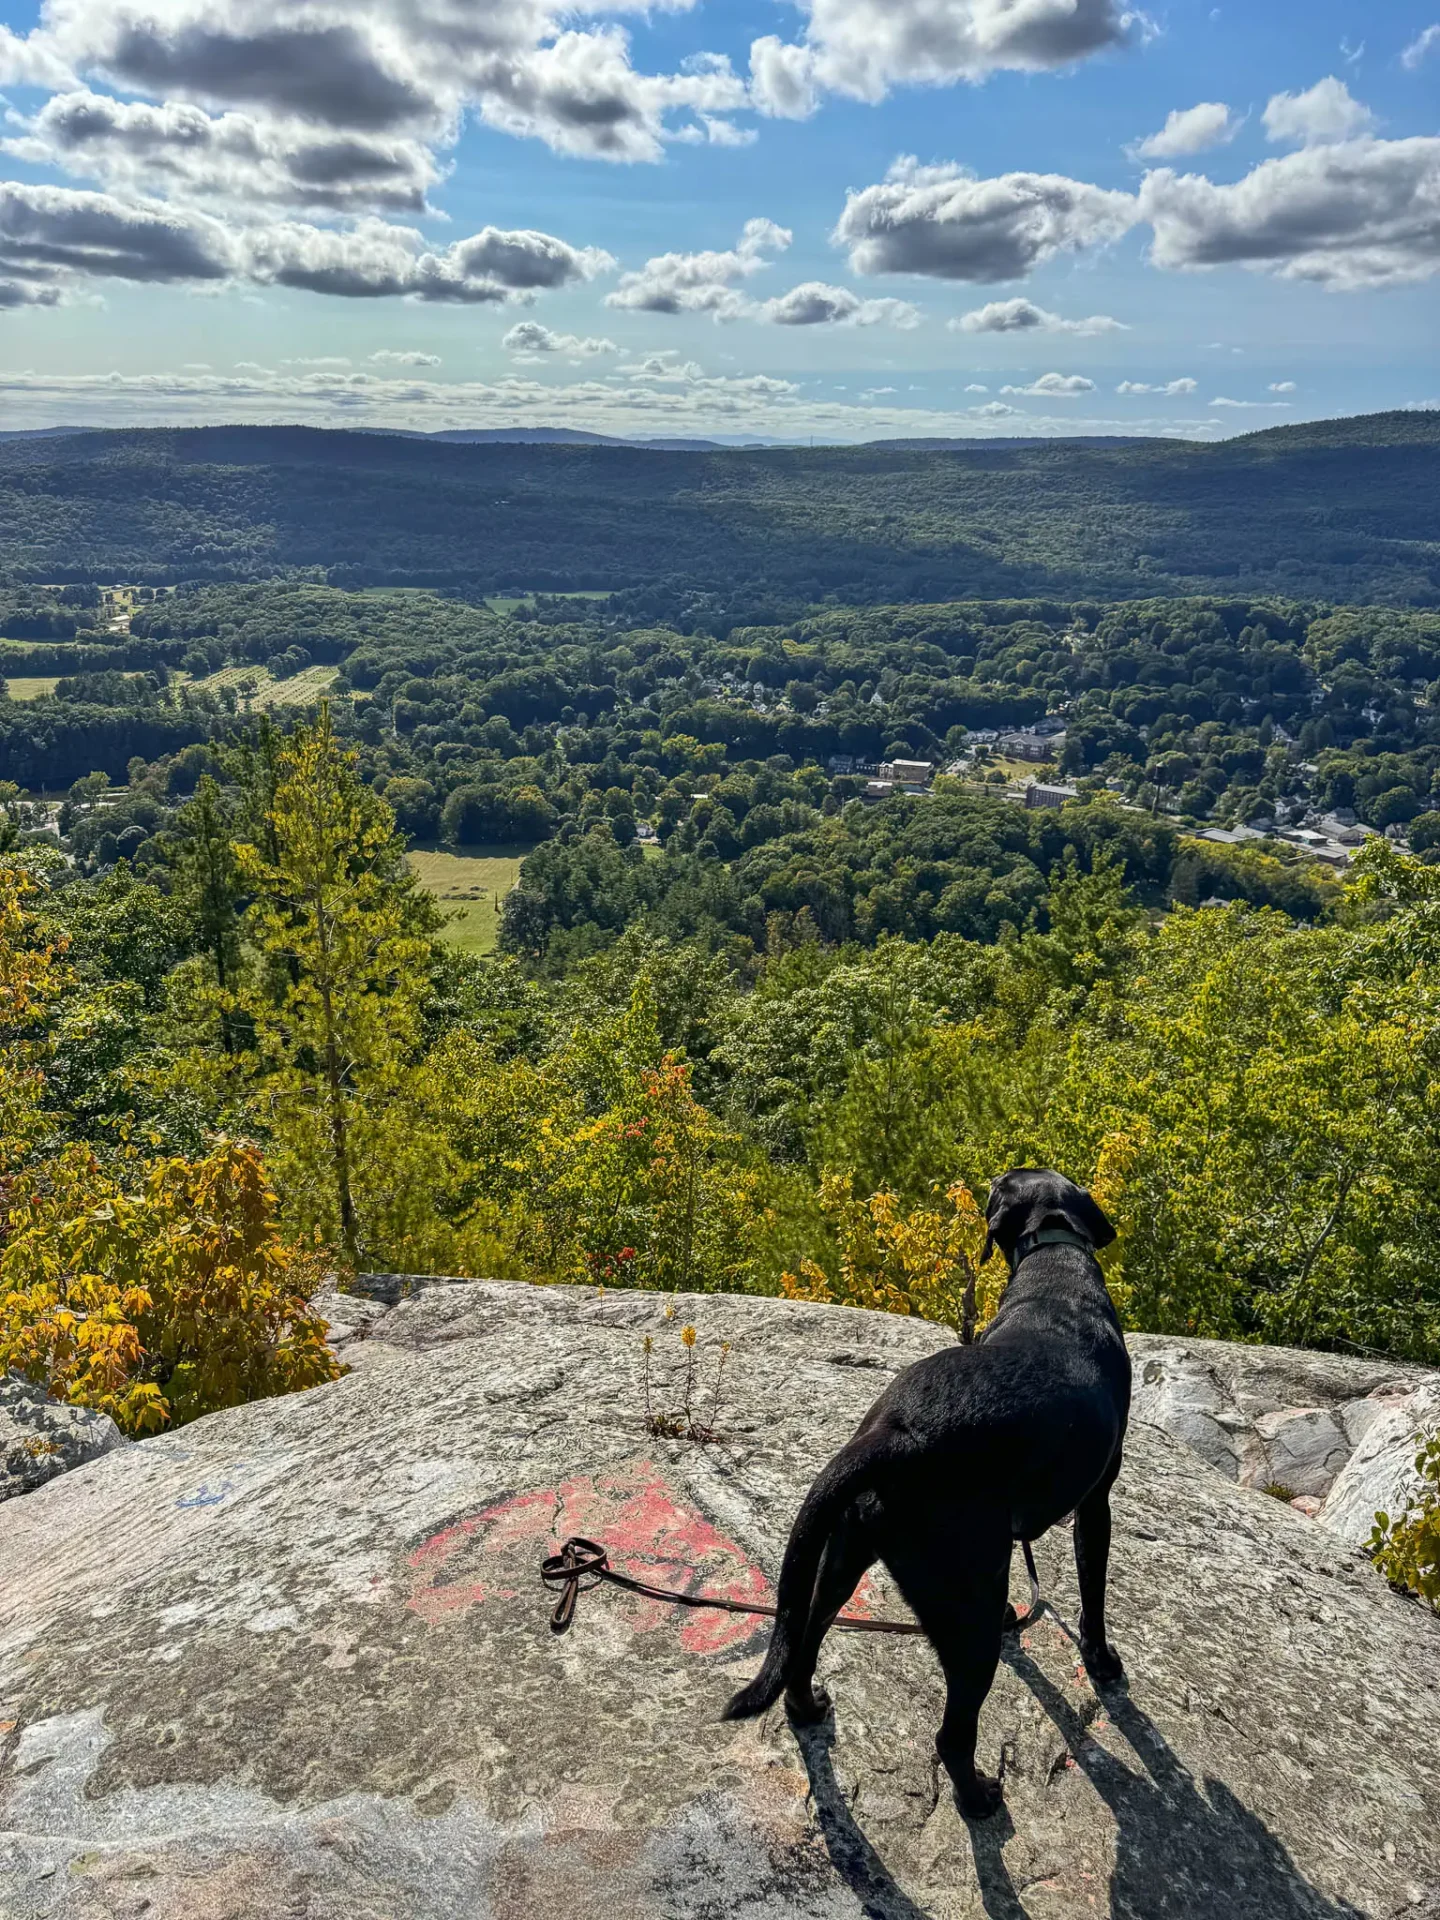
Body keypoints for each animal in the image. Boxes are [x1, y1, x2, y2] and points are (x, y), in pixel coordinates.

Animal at [725, 1167, 1136, 1812]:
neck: (1054, 1261)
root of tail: (893, 1434)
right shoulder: (1096, 1503)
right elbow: (1093, 1596)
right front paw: (1101, 1660)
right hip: (968, 1618)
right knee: (952, 1735)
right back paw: (979, 1797)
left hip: (843, 1558)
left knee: (804, 1640)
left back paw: (807, 1706)